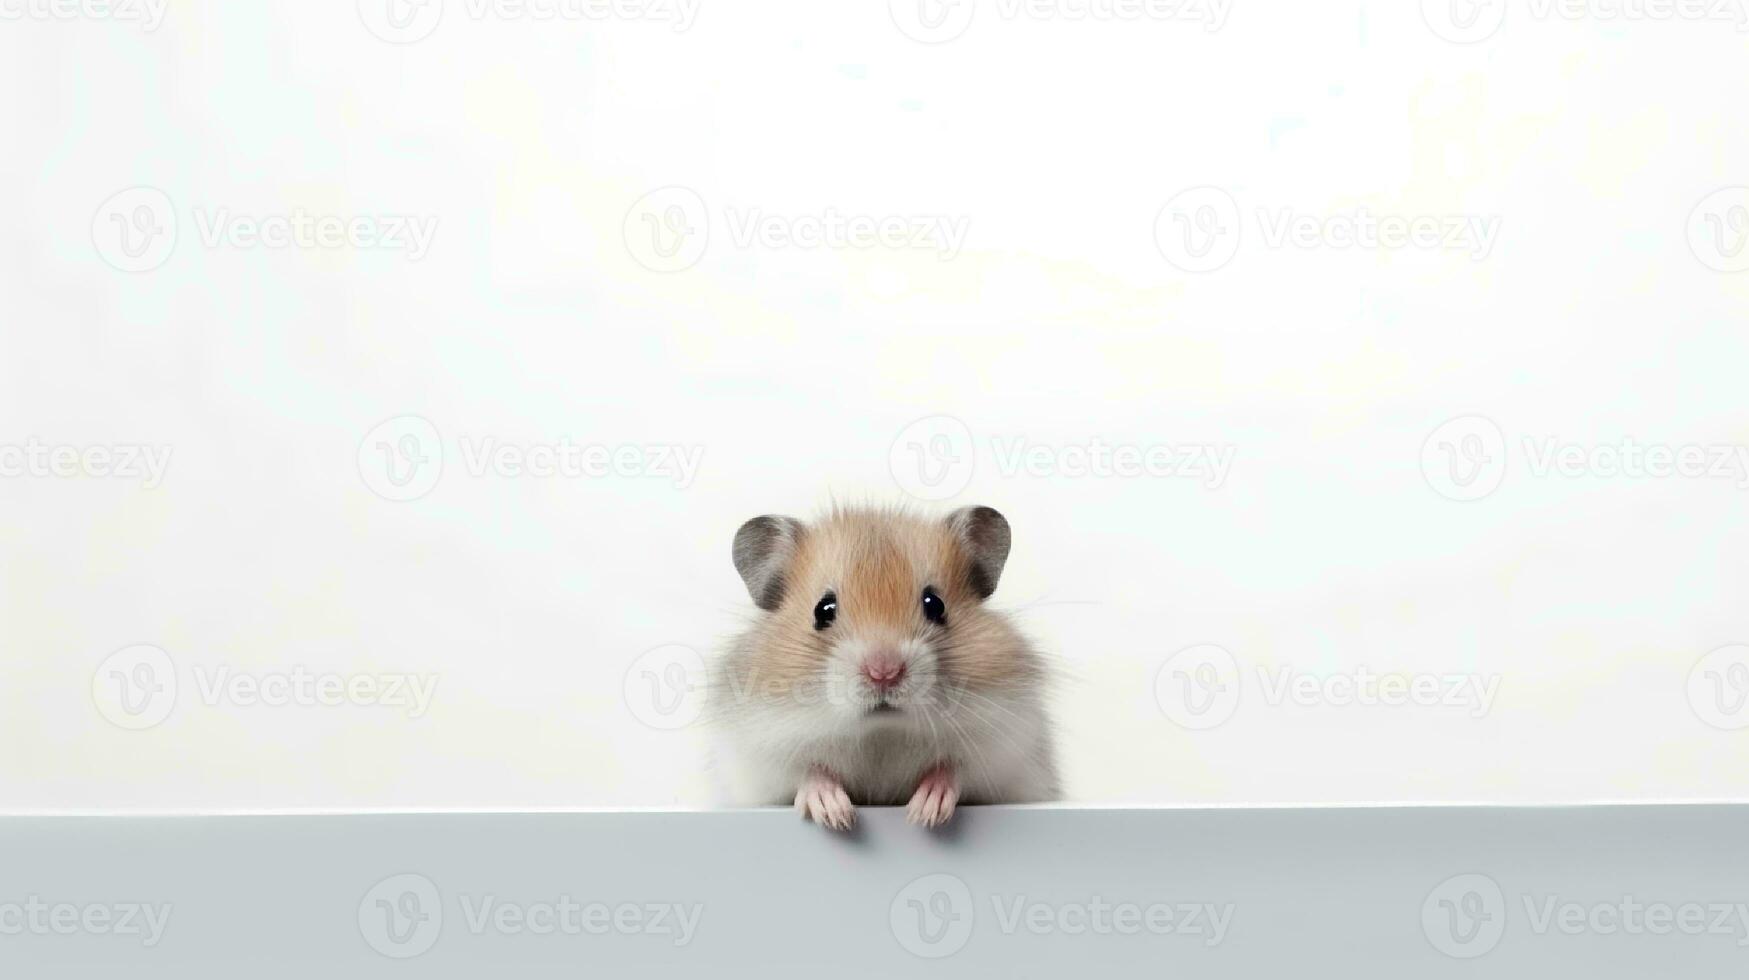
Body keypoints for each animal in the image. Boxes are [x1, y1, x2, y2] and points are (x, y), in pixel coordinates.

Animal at [703, 500, 1056, 829]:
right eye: (823, 609)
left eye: (935, 605)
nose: (884, 672)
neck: (882, 733)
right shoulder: (761, 756)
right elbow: (808, 772)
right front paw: (837, 816)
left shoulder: (1003, 748)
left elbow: (953, 770)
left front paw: (924, 813)